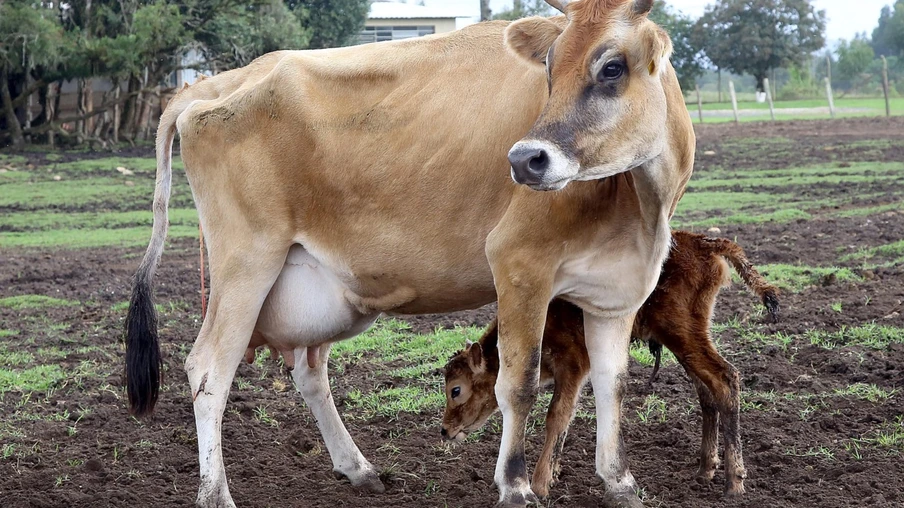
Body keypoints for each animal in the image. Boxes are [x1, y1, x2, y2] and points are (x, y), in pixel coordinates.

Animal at [123, 0, 696, 508]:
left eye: (612, 67)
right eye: (550, 69)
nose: (524, 159)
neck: (638, 207)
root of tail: (218, 81)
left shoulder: (618, 290)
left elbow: (612, 383)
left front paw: (619, 482)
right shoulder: (520, 266)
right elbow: (519, 383)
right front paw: (515, 487)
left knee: (308, 371)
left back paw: (358, 468)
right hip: (247, 263)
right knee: (207, 370)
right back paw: (216, 494)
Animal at [442, 232, 780, 498]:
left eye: (456, 390)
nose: (445, 430)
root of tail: (702, 242)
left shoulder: (573, 365)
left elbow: (558, 416)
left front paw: (540, 484)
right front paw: (554, 473)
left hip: (683, 334)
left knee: (725, 379)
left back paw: (734, 482)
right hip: (687, 339)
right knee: (706, 392)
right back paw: (704, 470)